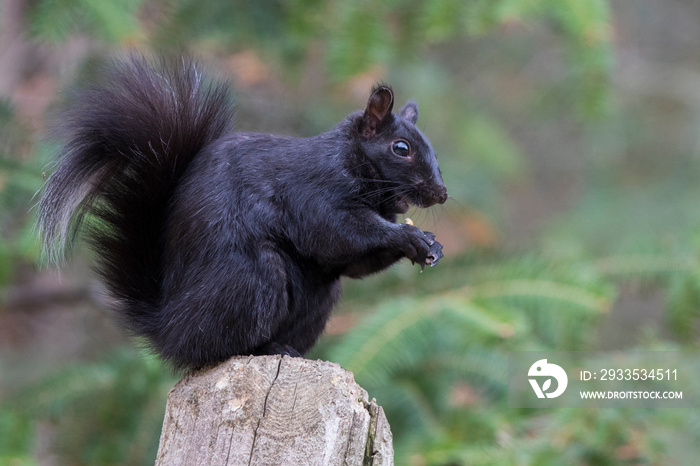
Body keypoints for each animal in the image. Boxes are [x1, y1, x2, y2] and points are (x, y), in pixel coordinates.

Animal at [38, 55, 446, 368]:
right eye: (401, 148)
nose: (441, 194)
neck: (352, 162)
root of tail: (169, 328)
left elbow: (352, 263)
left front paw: (430, 245)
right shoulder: (314, 192)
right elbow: (335, 233)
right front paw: (409, 236)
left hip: (317, 297)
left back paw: (292, 351)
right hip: (253, 280)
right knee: (218, 348)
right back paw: (265, 348)